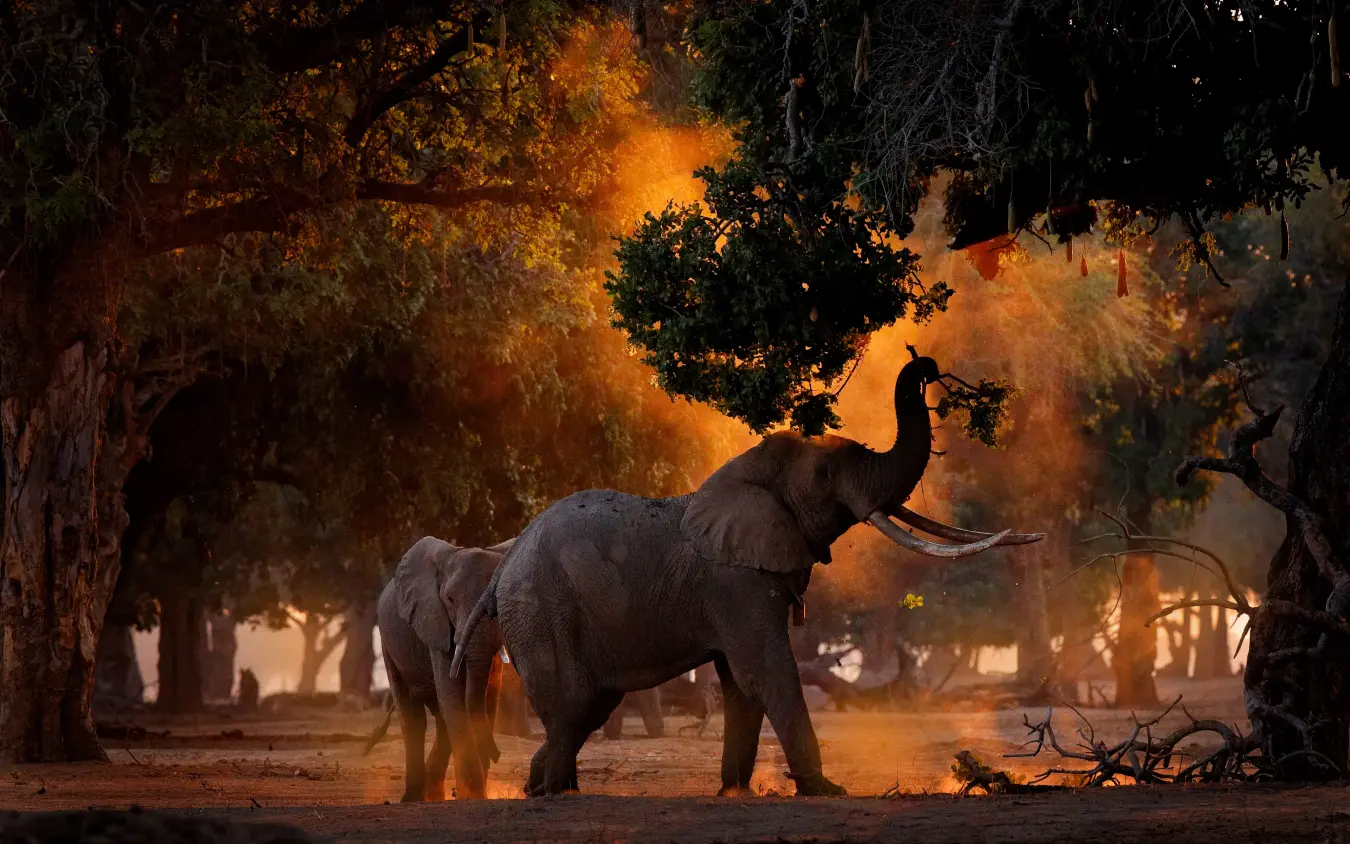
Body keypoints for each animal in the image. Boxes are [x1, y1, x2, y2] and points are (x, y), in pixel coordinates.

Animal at [375, 536, 514, 801]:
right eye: (450, 600)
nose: (498, 755)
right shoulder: (434, 621)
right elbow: (453, 695)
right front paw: (473, 796)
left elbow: (486, 697)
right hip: (388, 642)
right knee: (414, 718)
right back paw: (413, 797)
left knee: (442, 719)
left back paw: (434, 794)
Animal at [451, 356, 1043, 797]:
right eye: (824, 474)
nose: (926, 365)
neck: (746, 470)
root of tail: (503, 567)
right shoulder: (735, 581)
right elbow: (766, 670)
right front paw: (824, 791)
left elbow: (740, 684)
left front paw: (734, 792)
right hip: (542, 611)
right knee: (575, 704)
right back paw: (551, 791)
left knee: (585, 708)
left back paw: (545, 787)